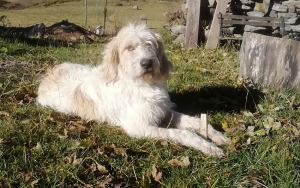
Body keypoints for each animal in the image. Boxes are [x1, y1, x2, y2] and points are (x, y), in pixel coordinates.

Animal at [37, 22, 230, 156]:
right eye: (129, 48)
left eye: (150, 44)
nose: (147, 63)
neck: (142, 83)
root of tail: (48, 75)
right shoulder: (139, 127)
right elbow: (183, 133)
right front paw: (208, 147)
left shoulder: (163, 112)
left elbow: (196, 122)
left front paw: (218, 137)